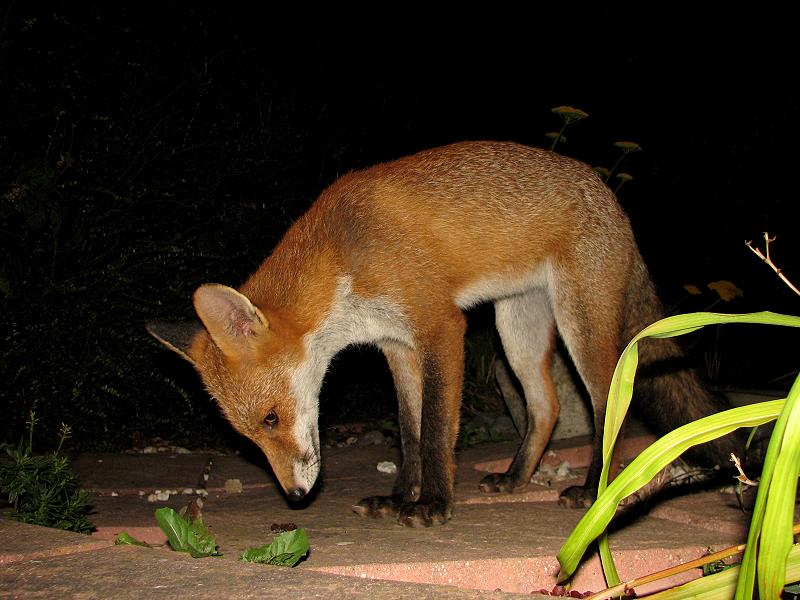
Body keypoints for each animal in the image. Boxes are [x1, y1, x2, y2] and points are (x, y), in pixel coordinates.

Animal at [148, 141, 743, 527]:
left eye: (271, 419)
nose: (294, 497)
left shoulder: (439, 328)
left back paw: (594, 489)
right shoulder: (395, 345)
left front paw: (432, 503)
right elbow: (408, 432)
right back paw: (516, 478)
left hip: (582, 327)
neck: (345, 258)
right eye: (249, 437)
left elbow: (435, 430)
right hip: (515, 327)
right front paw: (399, 498)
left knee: (609, 404)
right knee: (546, 405)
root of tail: (610, 196)